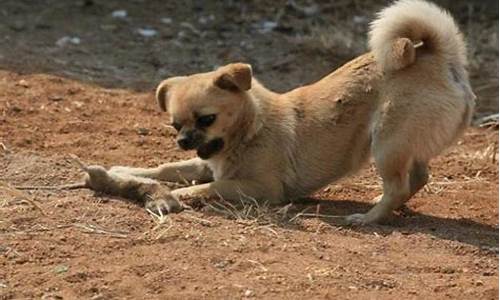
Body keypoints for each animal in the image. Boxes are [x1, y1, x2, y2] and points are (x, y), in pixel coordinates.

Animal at [111, 0, 474, 224]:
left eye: (207, 119)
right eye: (174, 125)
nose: (184, 140)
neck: (252, 127)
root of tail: (439, 57)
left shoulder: (259, 187)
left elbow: (209, 187)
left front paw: (178, 193)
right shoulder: (206, 161)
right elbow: (167, 167)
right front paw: (126, 170)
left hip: (386, 143)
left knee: (397, 185)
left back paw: (369, 218)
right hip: (403, 144)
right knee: (418, 177)